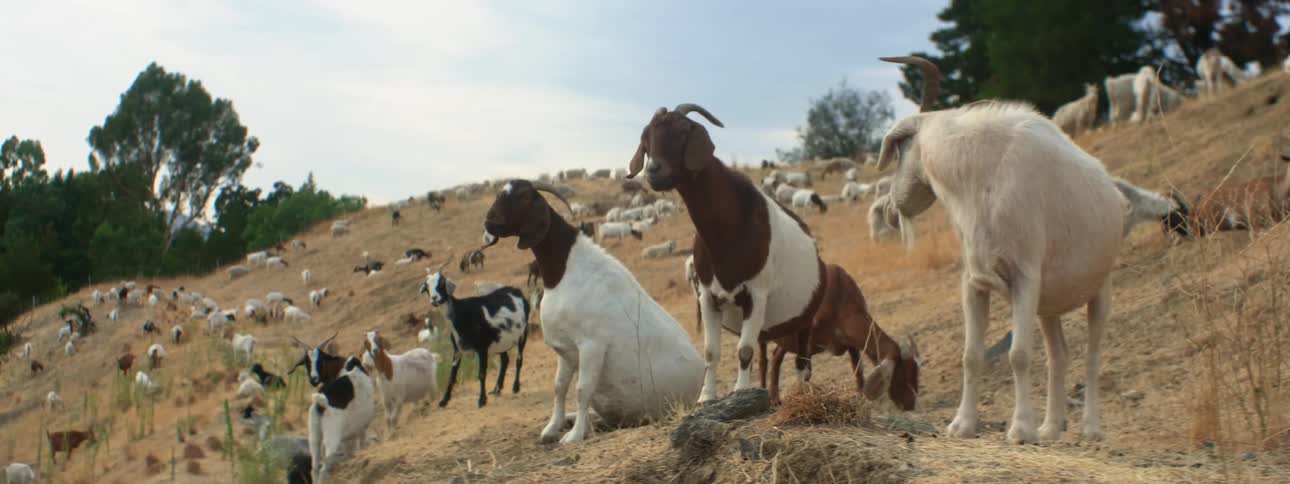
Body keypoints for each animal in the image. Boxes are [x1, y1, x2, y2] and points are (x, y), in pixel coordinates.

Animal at [421, 270, 529, 409]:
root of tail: (516, 291)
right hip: (500, 340)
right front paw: (444, 401)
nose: (434, 298)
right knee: (505, 360)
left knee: (519, 359)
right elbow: (452, 375)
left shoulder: (482, 347)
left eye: (441, 284)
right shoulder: (457, 350)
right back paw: (497, 388)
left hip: (523, 333)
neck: (460, 314)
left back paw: (515, 387)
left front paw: (482, 400)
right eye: (427, 287)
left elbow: (481, 374)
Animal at [483, 179, 703, 443]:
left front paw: (574, 436)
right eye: (500, 193)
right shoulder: (565, 350)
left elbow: (582, 389)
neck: (565, 272)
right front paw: (552, 428)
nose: (489, 221)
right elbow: (559, 387)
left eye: (524, 196)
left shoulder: (592, 345)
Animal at [872, 56, 1127, 443]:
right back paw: (1050, 427)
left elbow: (1019, 354)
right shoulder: (974, 284)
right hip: (1048, 307)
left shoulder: (1024, 279)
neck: (982, 171)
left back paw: (1090, 429)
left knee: (1092, 355)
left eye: (900, 149)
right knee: (1059, 355)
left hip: (1100, 291)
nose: (888, 208)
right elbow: (970, 355)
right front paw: (962, 425)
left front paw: (1020, 430)